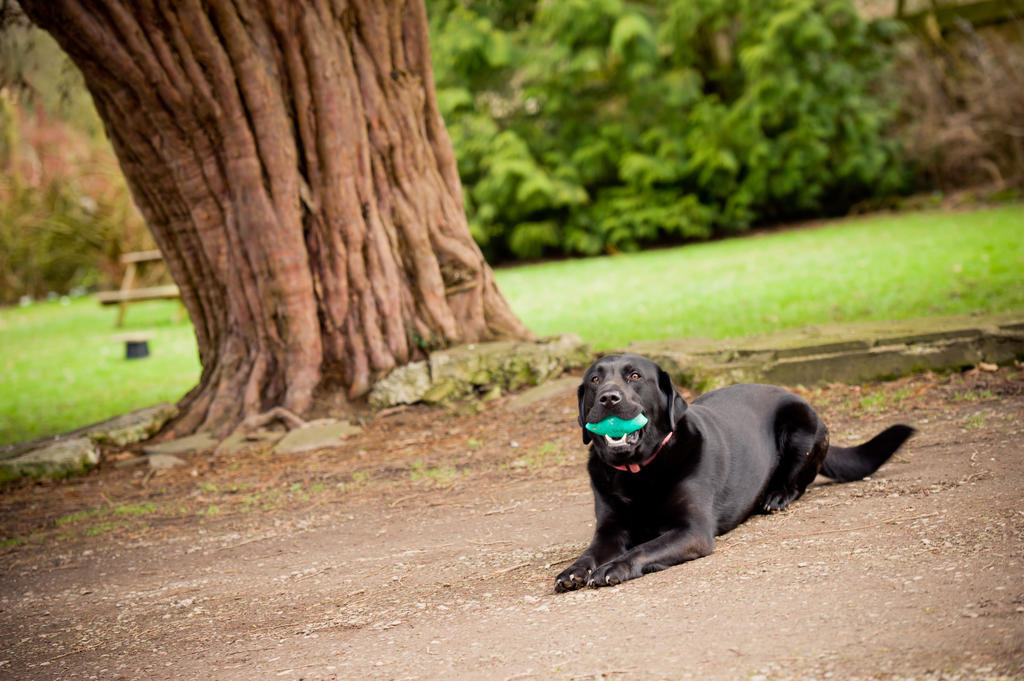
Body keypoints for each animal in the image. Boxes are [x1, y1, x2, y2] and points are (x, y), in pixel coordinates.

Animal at [557, 352, 917, 593]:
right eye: (595, 380)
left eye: (634, 376)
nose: (608, 398)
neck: (638, 471)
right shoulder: (609, 529)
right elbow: (591, 552)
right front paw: (574, 570)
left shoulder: (692, 531)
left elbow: (642, 548)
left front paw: (615, 567)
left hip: (801, 426)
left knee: (799, 482)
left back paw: (776, 496)